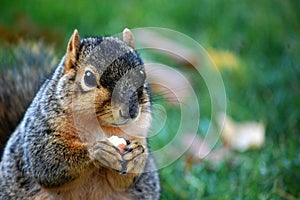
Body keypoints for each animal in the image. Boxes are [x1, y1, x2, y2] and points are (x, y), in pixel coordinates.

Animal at [0, 28, 159, 200]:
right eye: (88, 78)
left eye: (142, 74)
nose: (131, 111)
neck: (101, 125)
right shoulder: (41, 131)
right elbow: (48, 162)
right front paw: (97, 150)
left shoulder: (138, 133)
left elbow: (122, 181)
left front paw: (137, 155)